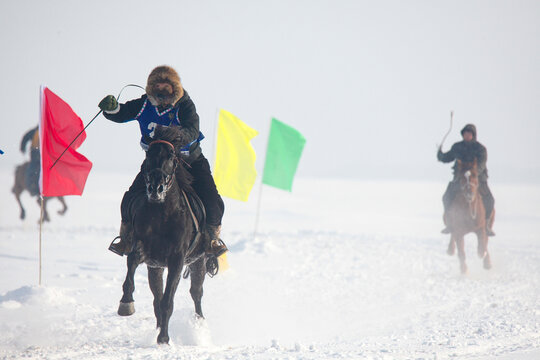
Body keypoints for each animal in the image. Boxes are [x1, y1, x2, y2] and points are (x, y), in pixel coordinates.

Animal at [117, 126, 210, 344]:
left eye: (172, 156)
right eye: (148, 154)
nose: (155, 188)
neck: (162, 214)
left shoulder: (177, 258)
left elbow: (169, 300)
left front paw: (164, 339)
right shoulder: (143, 249)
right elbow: (132, 264)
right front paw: (126, 303)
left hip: (198, 262)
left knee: (196, 293)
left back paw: (199, 326)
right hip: (156, 268)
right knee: (156, 298)